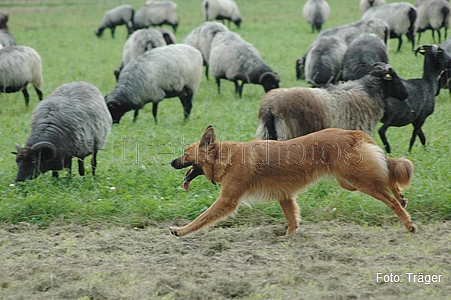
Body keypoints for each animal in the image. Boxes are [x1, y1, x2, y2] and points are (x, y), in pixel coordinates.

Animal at [170, 125, 416, 237]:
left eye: (185, 153)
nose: (171, 162)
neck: (225, 157)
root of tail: (352, 133)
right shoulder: (285, 196)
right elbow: (291, 221)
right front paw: (288, 239)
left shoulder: (227, 200)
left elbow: (202, 218)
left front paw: (181, 230)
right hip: (351, 182)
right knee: (389, 177)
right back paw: (402, 197)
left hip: (358, 180)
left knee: (390, 198)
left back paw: (408, 222)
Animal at [254, 62, 410, 142]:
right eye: (395, 78)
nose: (405, 94)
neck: (368, 91)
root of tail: (270, 106)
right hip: (288, 134)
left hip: (265, 133)